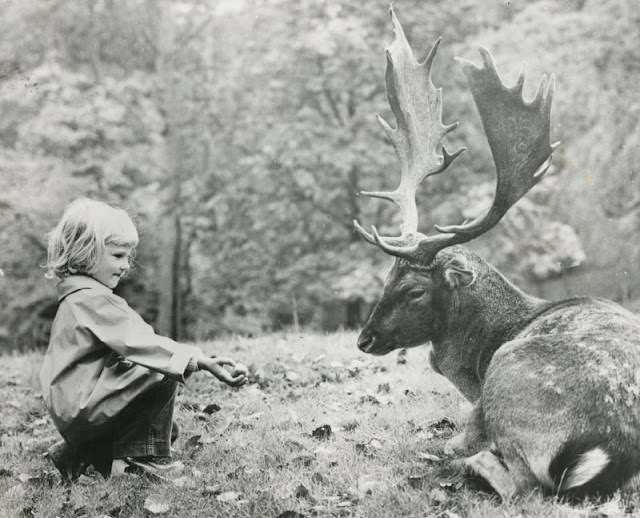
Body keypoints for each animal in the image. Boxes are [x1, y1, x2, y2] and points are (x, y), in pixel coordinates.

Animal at [352, 8, 640, 504]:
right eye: (387, 278)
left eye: (414, 291)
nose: (364, 339)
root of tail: (614, 444)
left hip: (511, 377)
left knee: (521, 484)